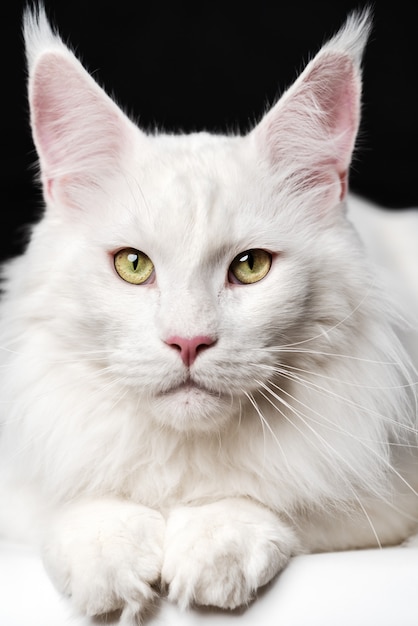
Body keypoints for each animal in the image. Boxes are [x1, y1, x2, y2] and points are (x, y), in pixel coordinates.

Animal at [0, 6, 418, 624]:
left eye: (250, 266)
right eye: (132, 265)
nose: (188, 342)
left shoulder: (383, 486)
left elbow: (277, 498)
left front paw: (213, 546)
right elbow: (73, 499)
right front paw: (109, 556)